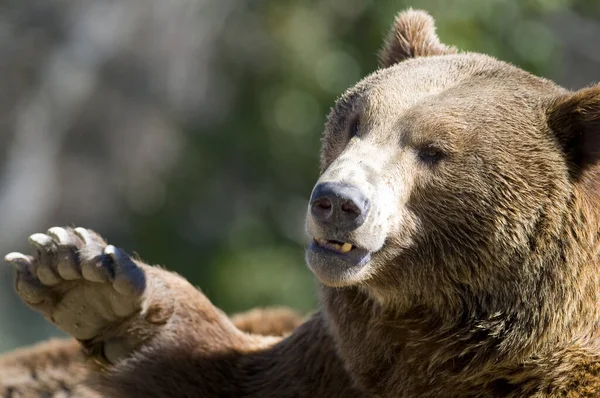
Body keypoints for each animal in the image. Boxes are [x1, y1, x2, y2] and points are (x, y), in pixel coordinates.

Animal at [5, 7, 600, 398]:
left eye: (434, 151)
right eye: (356, 121)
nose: (337, 201)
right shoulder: (337, 363)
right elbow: (231, 368)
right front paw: (84, 277)